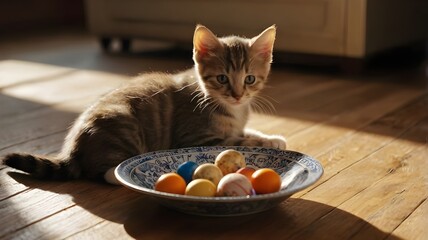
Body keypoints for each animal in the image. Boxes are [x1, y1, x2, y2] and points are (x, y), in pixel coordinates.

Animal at [4, 25, 288, 184]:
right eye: (222, 79)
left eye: (250, 79)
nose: (238, 95)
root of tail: (73, 149)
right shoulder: (195, 137)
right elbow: (240, 140)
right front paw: (266, 141)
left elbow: (246, 131)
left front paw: (273, 138)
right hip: (123, 123)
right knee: (101, 172)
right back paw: (122, 174)